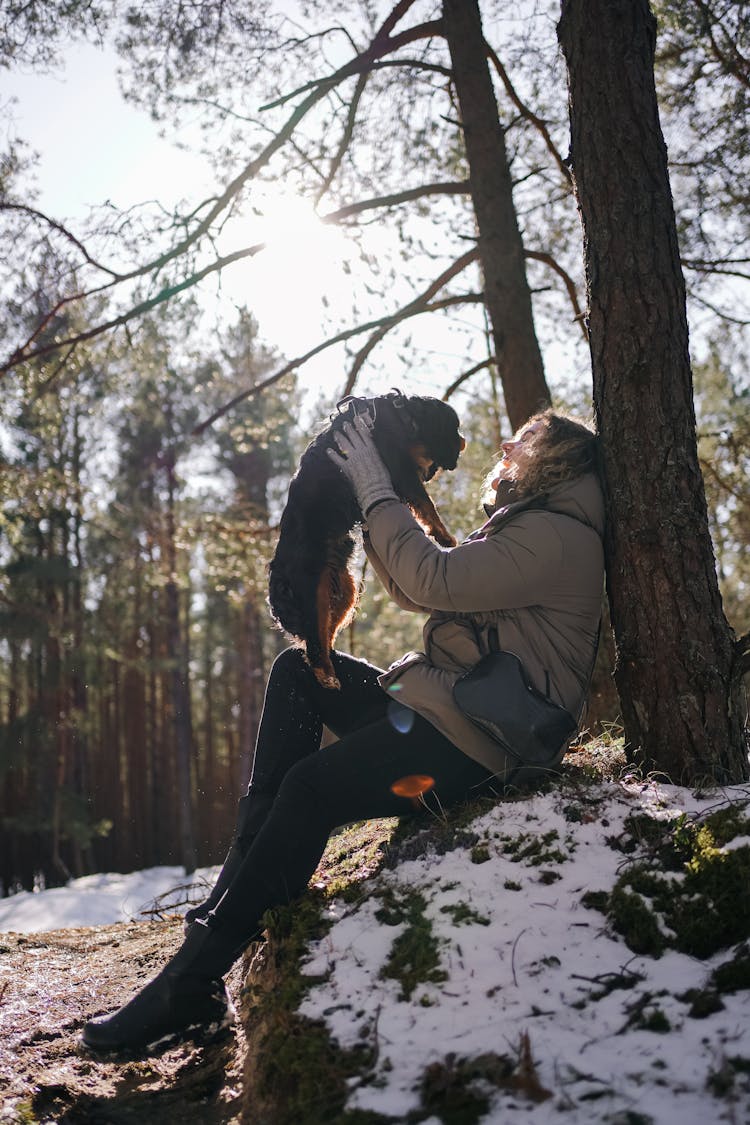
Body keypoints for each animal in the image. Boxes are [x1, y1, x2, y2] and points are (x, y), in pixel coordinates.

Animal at [269, 389, 463, 684]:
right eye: (454, 430)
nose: (463, 443)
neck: (402, 415)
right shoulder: (401, 470)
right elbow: (426, 505)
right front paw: (444, 536)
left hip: (344, 591)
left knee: (323, 634)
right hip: (313, 593)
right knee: (313, 648)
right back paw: (328, 676)